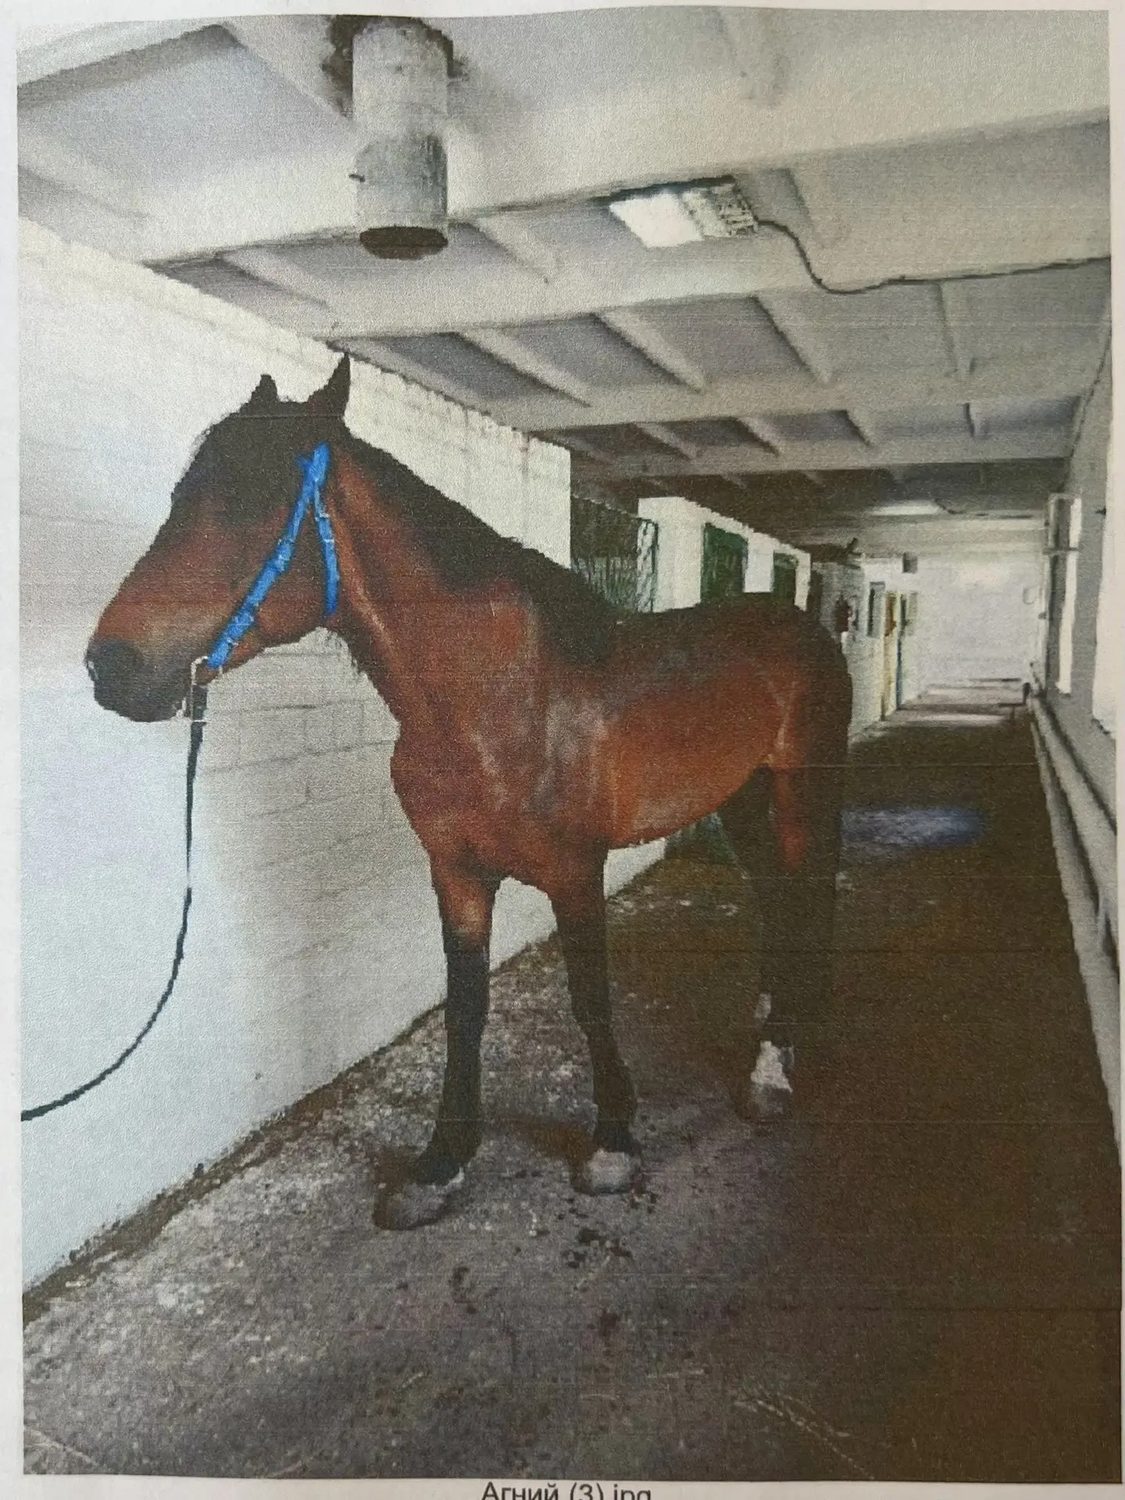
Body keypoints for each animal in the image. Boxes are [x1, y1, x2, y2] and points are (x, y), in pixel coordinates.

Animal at [85, 357, 852, 1229]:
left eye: (251, 501)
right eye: (183, 495)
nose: (110, 666)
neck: (494, 699)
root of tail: (802, 625)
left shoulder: (575, 873)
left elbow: (590, 997)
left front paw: (612, 1142)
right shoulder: (454, 871)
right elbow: (464, 1006)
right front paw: (441, 1161)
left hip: (798, 792)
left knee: (801, 899)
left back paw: (772, 1069)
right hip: (743, 798)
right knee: (775, 899)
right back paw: (771, 1035)